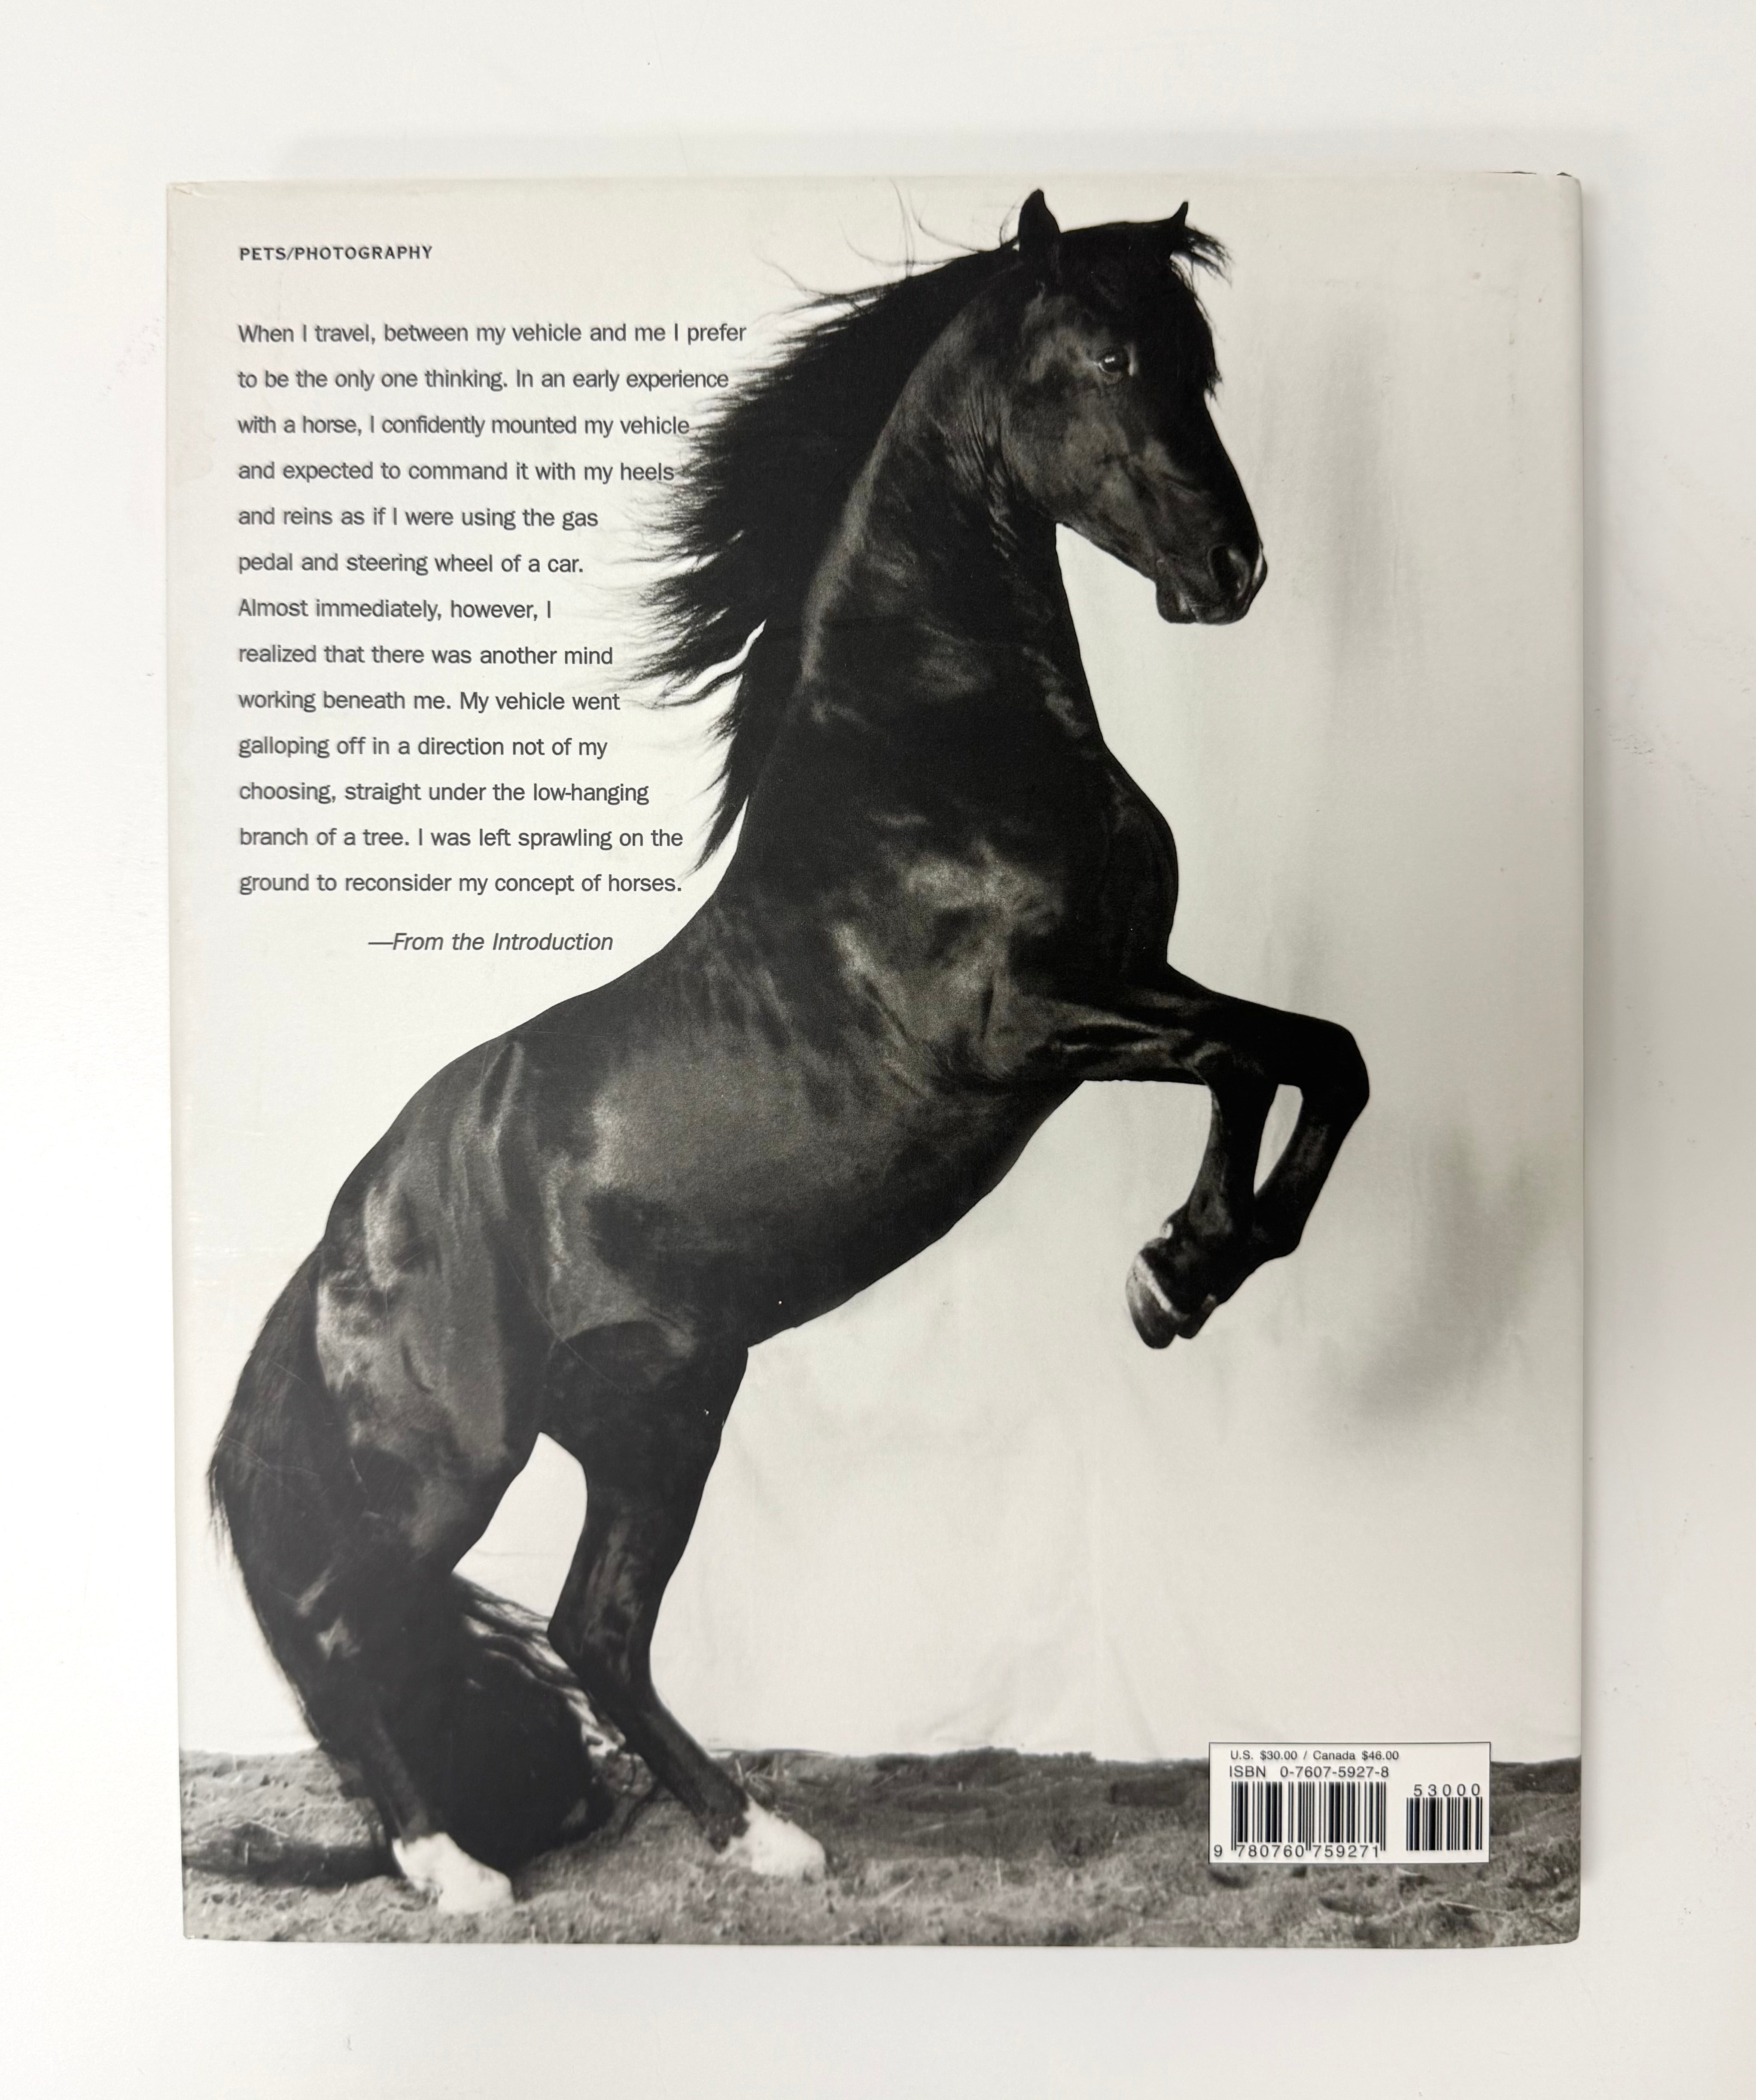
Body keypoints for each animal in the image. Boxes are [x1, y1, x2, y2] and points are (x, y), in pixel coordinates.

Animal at [209, 191, 1368, 1915]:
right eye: (1103, 357)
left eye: (1199, 364)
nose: (1232, 568)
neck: (926, 762)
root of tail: (343, 1241)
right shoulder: (1037, 1027)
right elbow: (1277, 1055)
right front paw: (1179, 1267)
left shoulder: (1132, 982)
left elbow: (1301, 1056)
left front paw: (1182, 1270)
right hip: (454, 1461)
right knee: (353, 1623)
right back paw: (455, 1871)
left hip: (662, 1410)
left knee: (594, 1629)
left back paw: (763, 1837)